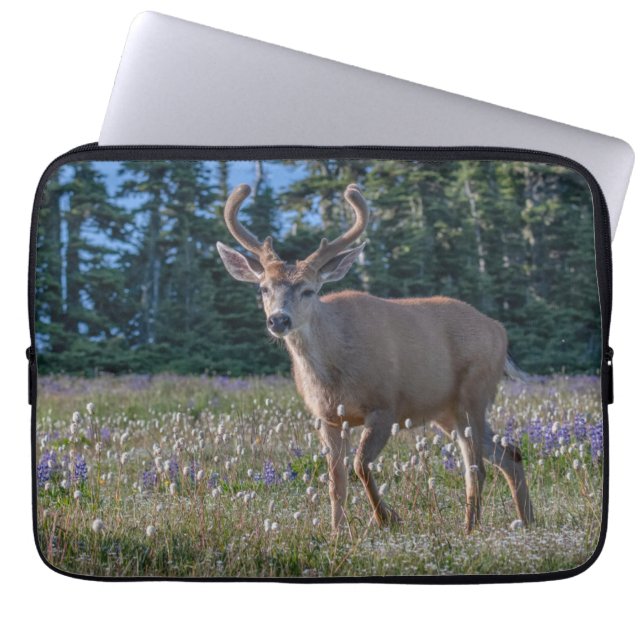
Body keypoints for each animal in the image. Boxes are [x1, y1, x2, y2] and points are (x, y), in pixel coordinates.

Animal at [216, 183, 534, 533]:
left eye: (309, 290)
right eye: (263, 288)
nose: (279, 320)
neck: (333, 371)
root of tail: (500, 330)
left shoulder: (385, 406)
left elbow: (359, 464)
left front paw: (386, 518)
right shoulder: (327, 417)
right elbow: (336, 481)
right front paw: (337, 531)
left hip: (473, 393)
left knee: (477, 466)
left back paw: (471, 528)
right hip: (446, 411)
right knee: (509, 452)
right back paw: (526, 520)